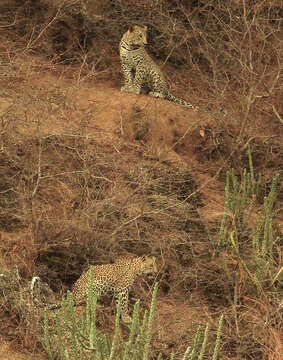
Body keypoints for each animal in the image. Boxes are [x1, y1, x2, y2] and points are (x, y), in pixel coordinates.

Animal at [32, 256, 160, 324]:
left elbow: (119, 303)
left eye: (155, 265)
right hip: (95, 284)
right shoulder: (123, 289)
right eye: (151, 265)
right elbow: (124, 304)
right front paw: (126, 317)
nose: (155, 272)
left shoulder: (118, 291)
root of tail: (73, 293)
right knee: (83, 301)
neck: (135, 270)